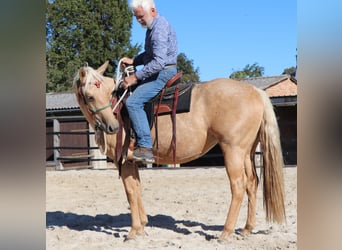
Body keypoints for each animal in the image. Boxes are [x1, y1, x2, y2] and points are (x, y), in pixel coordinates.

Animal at [73, 61, 286, 242]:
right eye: (91, 96)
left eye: (108, 93)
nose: (113, 127)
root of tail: (255, 92)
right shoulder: (132, 161)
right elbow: (137, 189)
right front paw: (142, 226)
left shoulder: (124, 161)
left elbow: (131, 192)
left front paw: (133, 231)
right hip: (247, 152)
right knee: (252, 183)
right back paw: (247, 229)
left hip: (233, 150)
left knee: (238, 186)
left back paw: (226, 232)